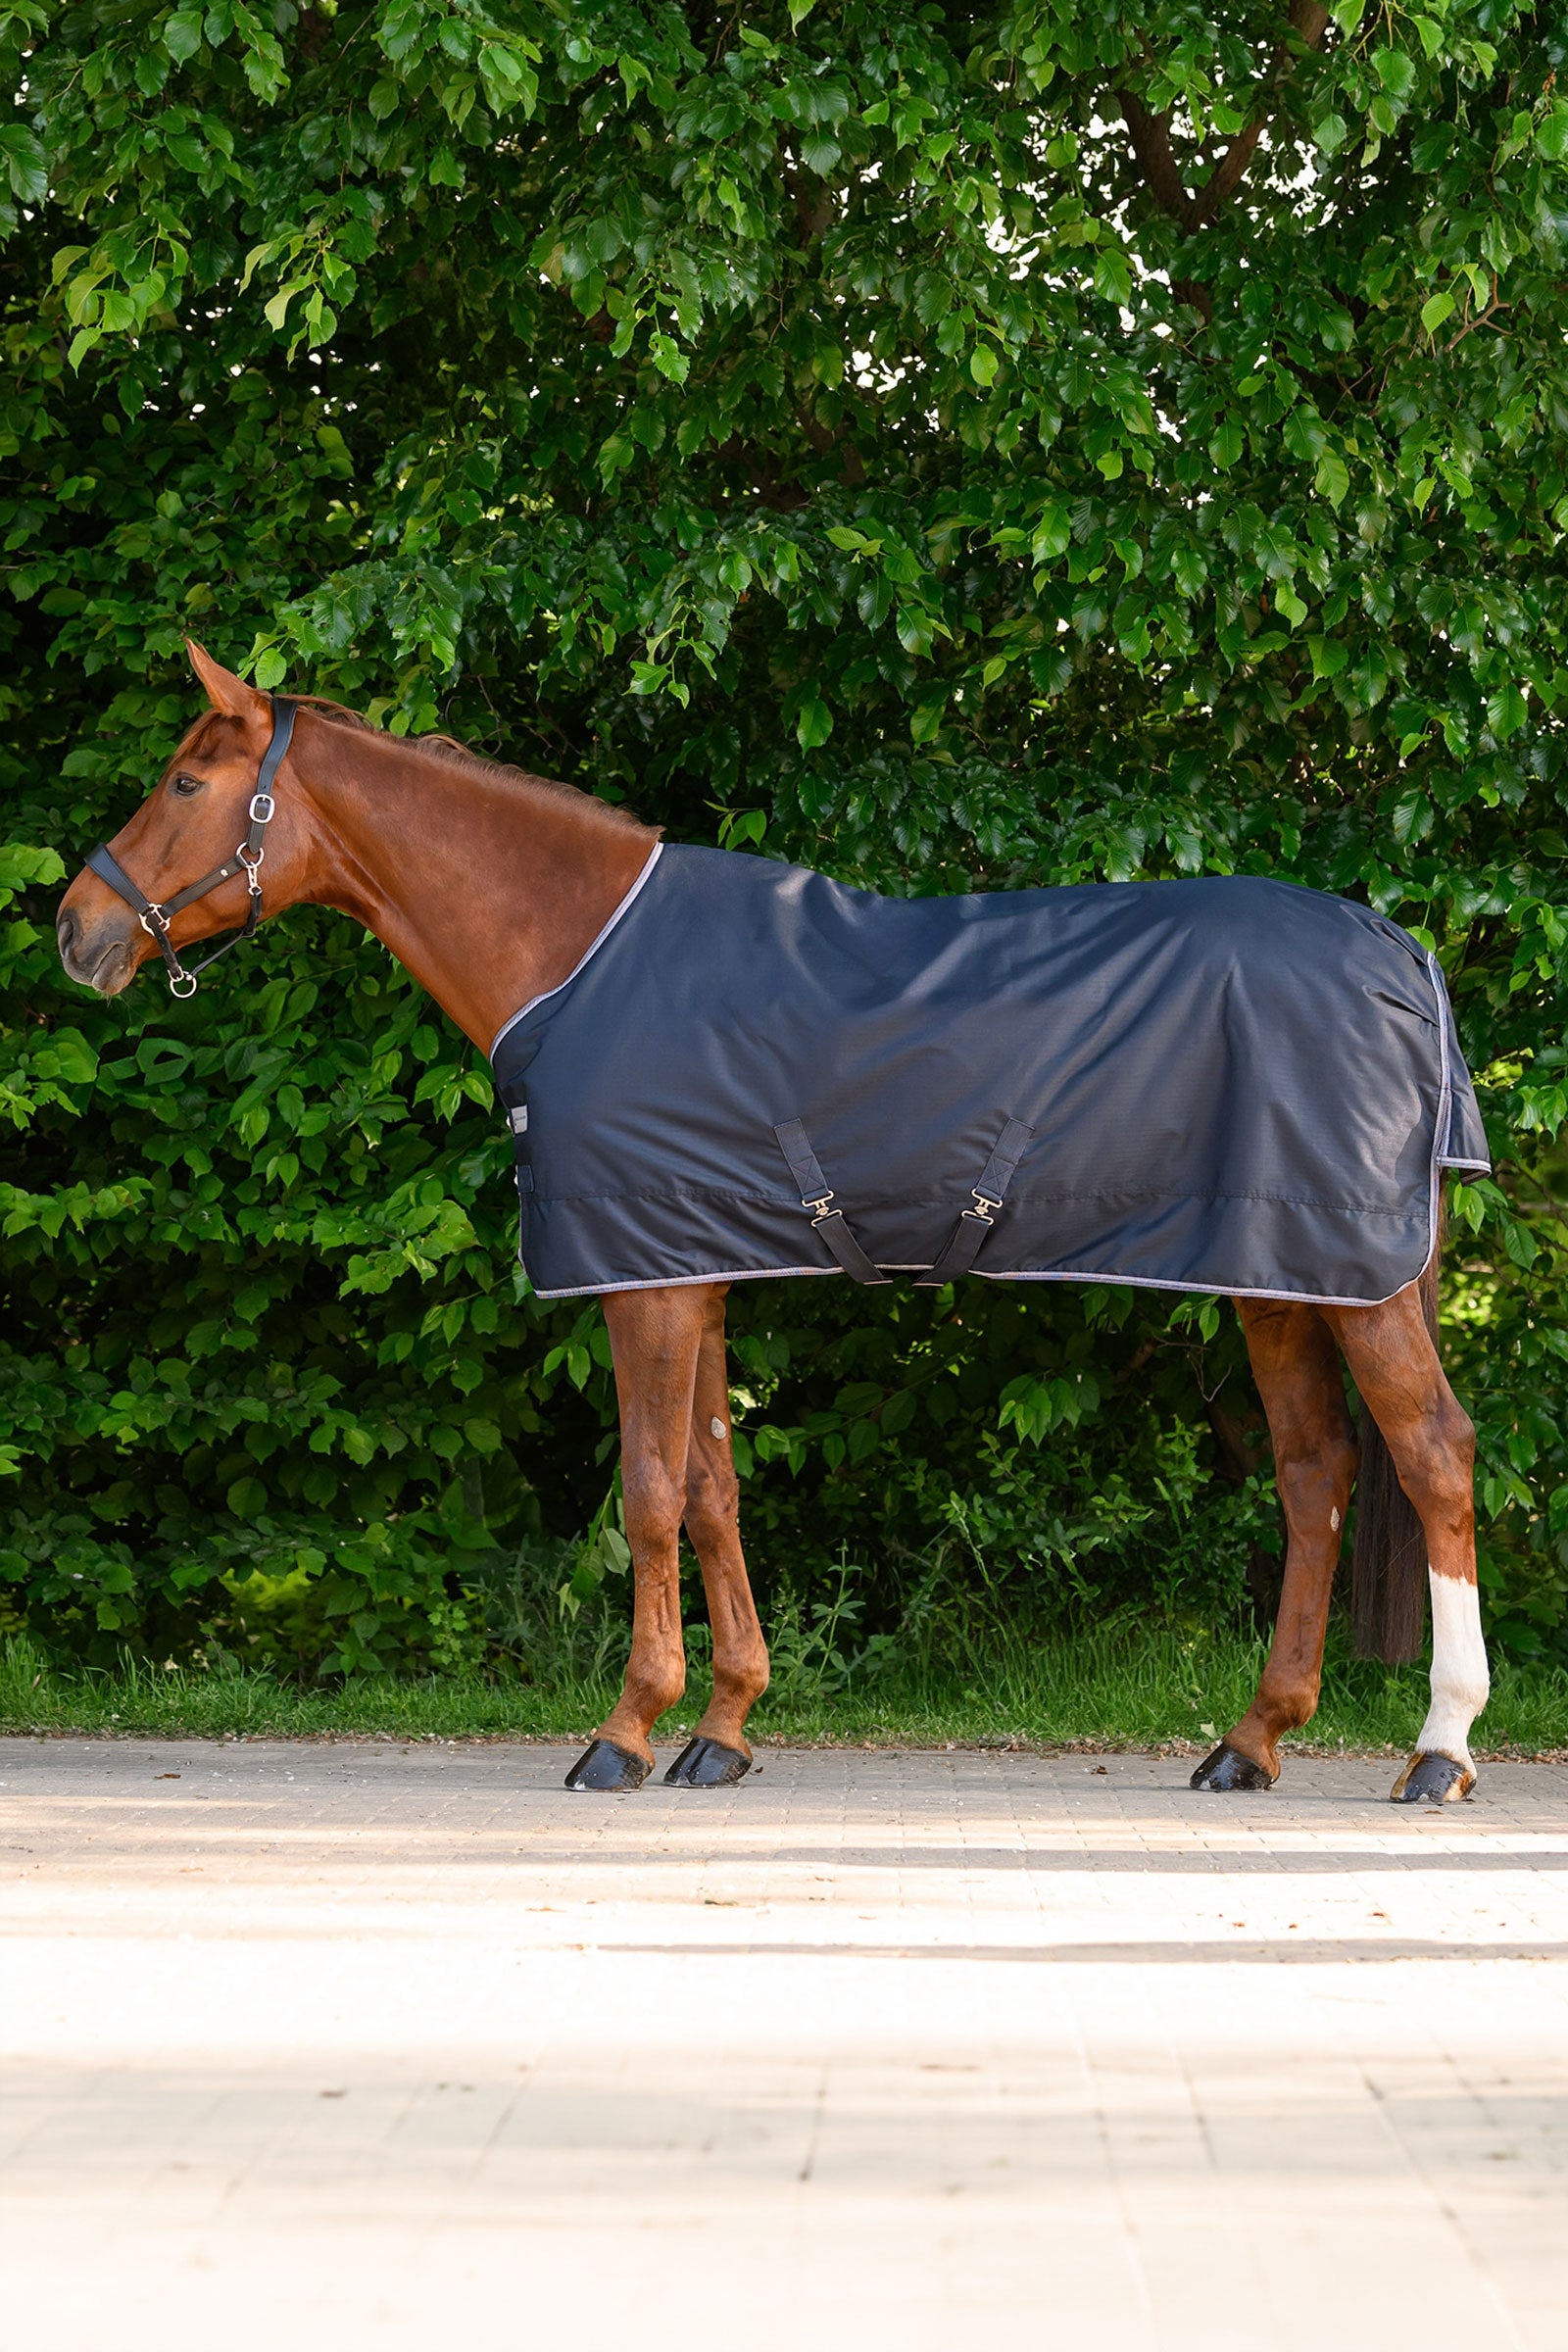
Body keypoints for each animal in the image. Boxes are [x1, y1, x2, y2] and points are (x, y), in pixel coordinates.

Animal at [55, 642, 1490, 1803]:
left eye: (184, 783)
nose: (75, 930)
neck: (578, 955)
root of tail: (1403, 955)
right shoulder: (691, 1266)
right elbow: (710, 1489)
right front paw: (724, 1728)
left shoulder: (642, 1283)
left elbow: (646, 1496)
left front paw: (624, 1733)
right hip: (1287, 1276)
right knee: (1316, 1472)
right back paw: (1251, 1743)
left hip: (1352, 1282)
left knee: (1431, 1455)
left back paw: (1439, 1750)